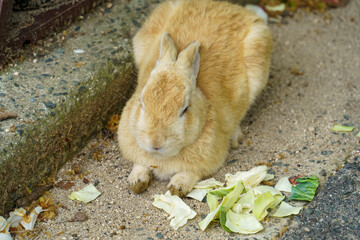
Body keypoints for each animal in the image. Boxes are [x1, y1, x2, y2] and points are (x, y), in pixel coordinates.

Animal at [116, 0, 272, 197]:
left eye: (184, 109)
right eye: (142, 102)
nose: (155, 142)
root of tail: (226, 6)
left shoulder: (205, 164)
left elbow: (190, 173)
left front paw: (176, 188)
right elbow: (140, 165)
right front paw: (136, 182)